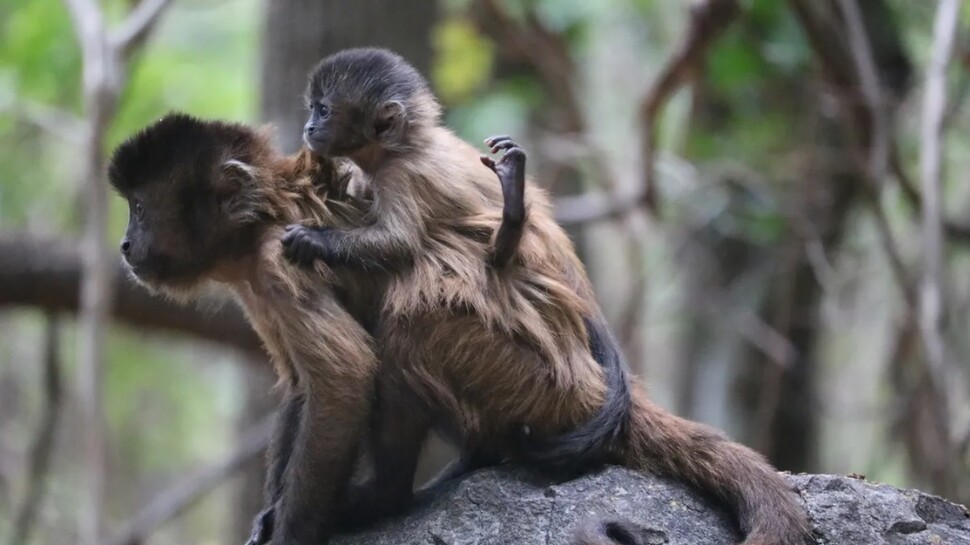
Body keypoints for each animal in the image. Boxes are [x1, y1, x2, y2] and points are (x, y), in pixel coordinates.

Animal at [284, 47, 812, 544]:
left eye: (324, 110)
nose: (309, 125)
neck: (402, 147)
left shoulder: (405, 175)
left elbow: (398, 244)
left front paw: (314, 241)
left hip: (537, 383)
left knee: (410, 323)